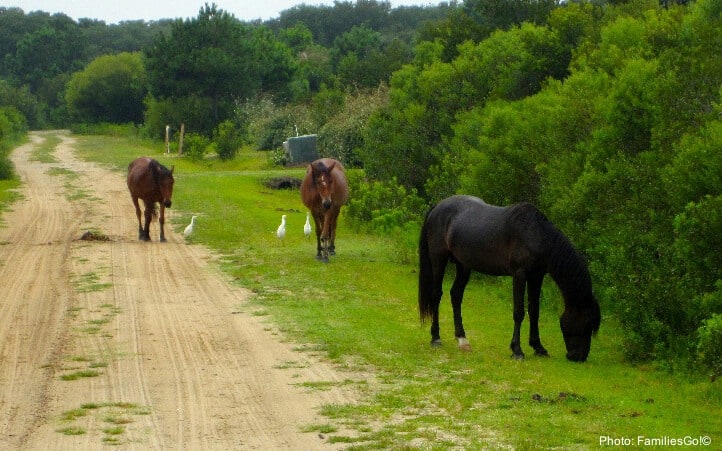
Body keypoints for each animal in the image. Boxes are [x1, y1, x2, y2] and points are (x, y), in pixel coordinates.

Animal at [414, 195, 600, 364]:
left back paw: (462, 339)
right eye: (587, 323)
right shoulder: (519, 274)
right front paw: (517, 350)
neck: (535, 234)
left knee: (456, 295)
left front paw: (538, 347)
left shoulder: (536, 276)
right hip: (439, 259)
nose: (578, 357)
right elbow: (519, 312)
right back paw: (436, 338)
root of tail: (437, 206)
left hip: (463, 264)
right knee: (436, 295)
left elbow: (534, 311)